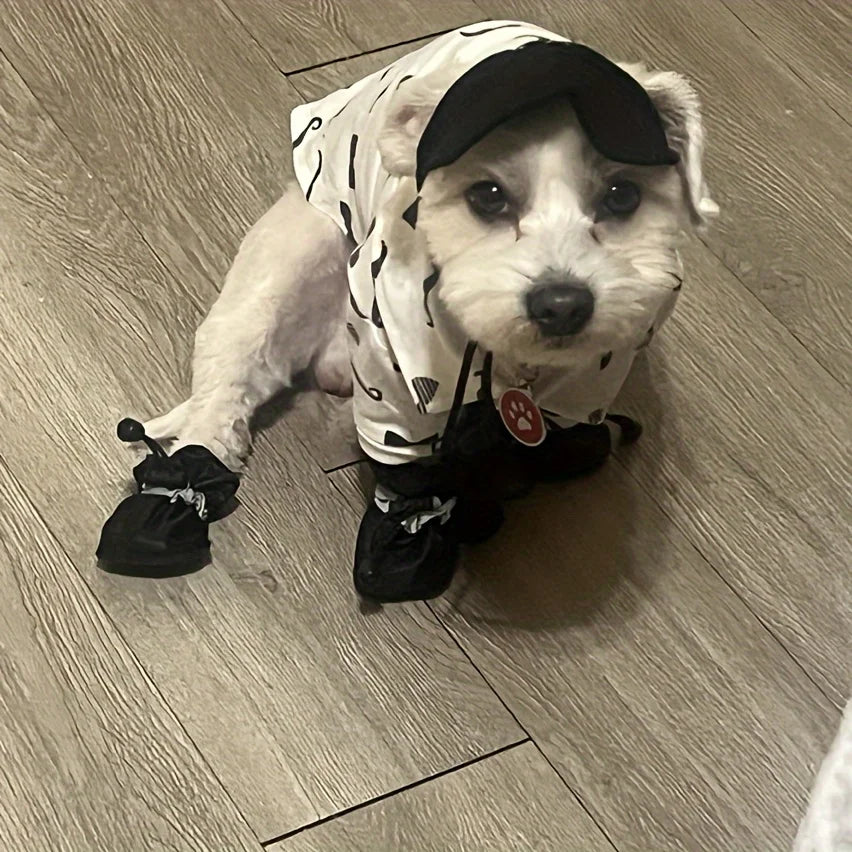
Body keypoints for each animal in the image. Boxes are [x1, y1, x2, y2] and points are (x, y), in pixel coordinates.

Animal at [143, 21, 716, 604]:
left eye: (623, 196)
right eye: (487, 195)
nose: (562, 306)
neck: (512, 367)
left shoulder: (598, 371)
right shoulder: (395, 373)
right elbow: (408, 475)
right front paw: (407, 542)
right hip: (286, 268)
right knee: (225, 388)